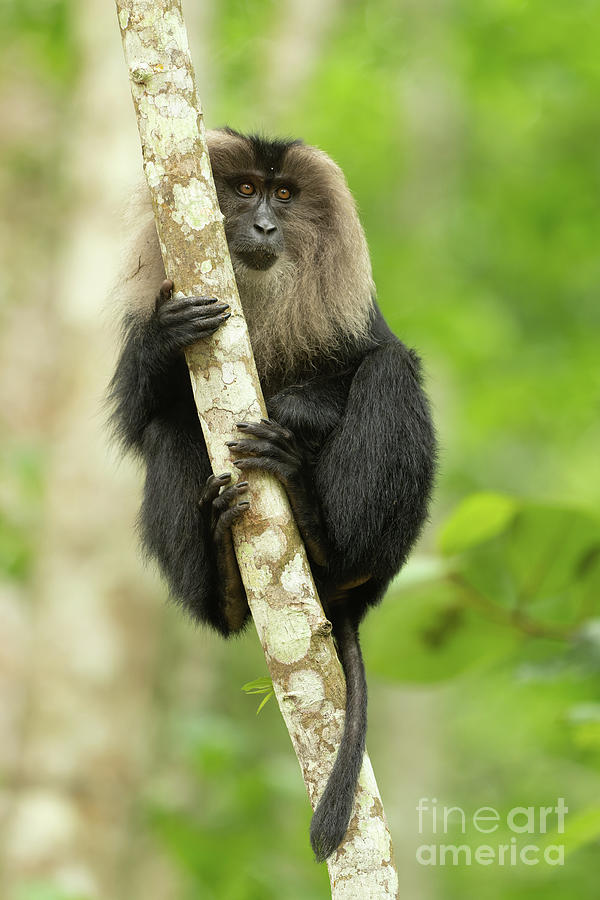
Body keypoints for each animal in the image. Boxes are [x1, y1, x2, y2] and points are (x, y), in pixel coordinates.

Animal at [108, 128, 436, 864]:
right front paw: (167, 338)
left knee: (389, 372)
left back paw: (319, 532)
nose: (264, 225)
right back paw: (229, 587)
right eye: (245, 190)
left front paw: (294, 410)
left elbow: (371, 360)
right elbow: (139, 418)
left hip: (384, 545)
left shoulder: (354, 315)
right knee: (170, 429)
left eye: (284, 195)